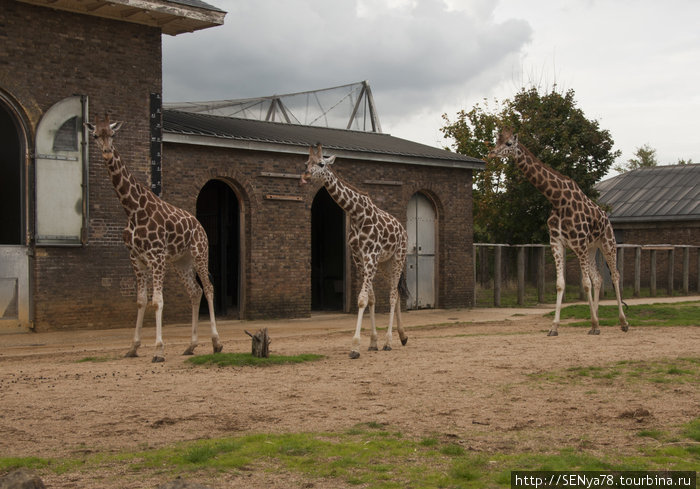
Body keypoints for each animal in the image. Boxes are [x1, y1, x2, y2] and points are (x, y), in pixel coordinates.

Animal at [85, 113, 223, 358]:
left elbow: (157, 301)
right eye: (95, 135)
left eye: (112, 134)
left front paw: (159, 349)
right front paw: (133, 347)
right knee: (194, 291)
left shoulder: (157, 256)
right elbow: (141, 301)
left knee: (208, 288)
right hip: (181, 261)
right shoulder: (136, 258)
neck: (132, 209)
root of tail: (199, 225)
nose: (107, 152)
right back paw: (191, 345)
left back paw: (216, 342)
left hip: (200, 253)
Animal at [300, 143, 410, 356]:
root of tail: (403, 229)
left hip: (398, 258)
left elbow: (362, 299)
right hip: (385, 263)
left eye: (321, 163)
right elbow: (371, 299)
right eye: (306, 163)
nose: (306, 176)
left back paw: (389, 341)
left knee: (393, 295)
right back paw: (402, 336)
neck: (357, 214)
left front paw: (355, 346)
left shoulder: (370, 255)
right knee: (397, 293)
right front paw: (372, 342)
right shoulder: (359, 257)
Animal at [486, 127, 628, 336]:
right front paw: (554, 327)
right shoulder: (556, 243)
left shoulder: (578, 243)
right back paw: (596, 325)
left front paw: (594, 323)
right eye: (497, 140)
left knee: (615, 275)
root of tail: (607, 218)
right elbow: (561, 284)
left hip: (607, 243)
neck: (558, 200)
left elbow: (585, 283)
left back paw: (623, 323)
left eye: (509, 143)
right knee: (598, 278)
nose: (492, 153)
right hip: (592, 247)